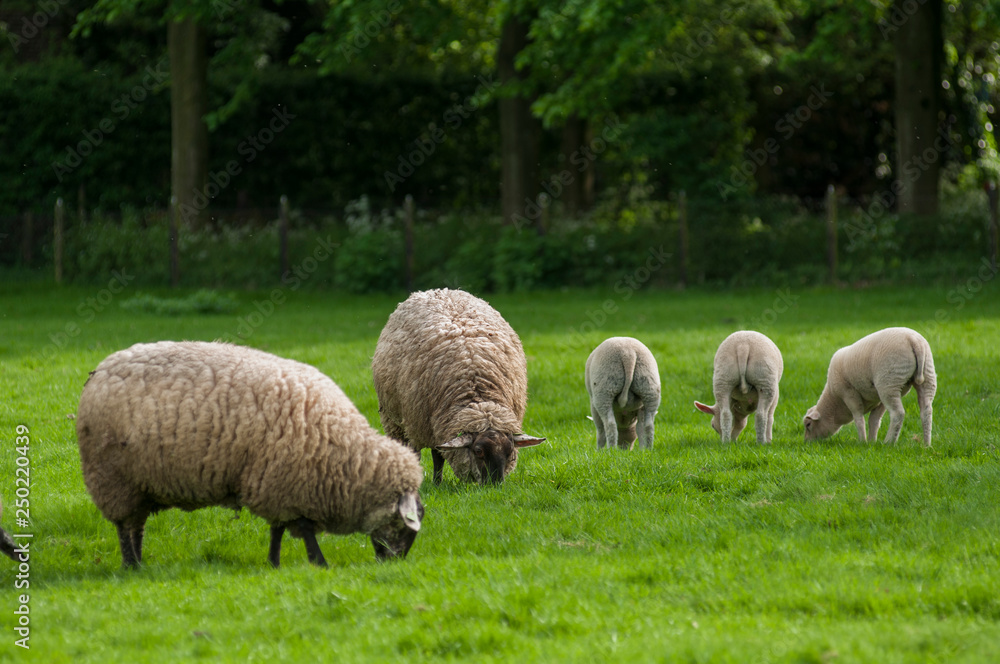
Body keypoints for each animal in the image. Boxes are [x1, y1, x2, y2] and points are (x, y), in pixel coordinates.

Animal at [75, 341, 425, 569]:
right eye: (406, 523)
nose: (392, 564)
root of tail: (100, 371)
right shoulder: (288, 483)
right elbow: (303, 529)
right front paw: (319, 562)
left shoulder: (277, 486)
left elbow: (278, 529)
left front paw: (274, 563)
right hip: (113, 478)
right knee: (124, 527)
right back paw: (131, 565)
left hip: (138, 485)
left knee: (136, 526)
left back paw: (138, 561)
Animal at [372, 288, 545, 485]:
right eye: (478, 451)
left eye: (509, 451)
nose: (495, 485)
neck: (478, 395)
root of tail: (438, 290)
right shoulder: (418, 426)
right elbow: (424, 455)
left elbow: (439, 455)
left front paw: (437, 483)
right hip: (394, 420)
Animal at [803, 327, 936, 445]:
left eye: (808, 425)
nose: (806, 443)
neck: (835, 403)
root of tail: (914, 341)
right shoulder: (878, 400)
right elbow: (874, 420)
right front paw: (872, 442)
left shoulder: (849, 393)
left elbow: (859, 419)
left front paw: (863, 442)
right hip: (927, 375)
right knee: (926, 411)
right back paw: (926, 444)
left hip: (888, 382)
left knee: (897, 413)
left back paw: (889, 442)